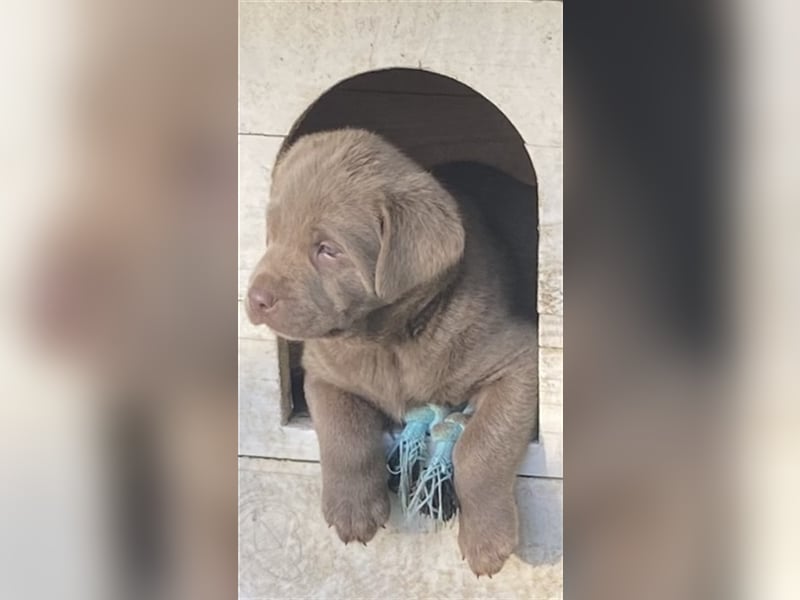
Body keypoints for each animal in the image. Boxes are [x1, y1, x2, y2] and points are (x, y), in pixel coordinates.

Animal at [248, 129, 536, 576]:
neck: (388, 343)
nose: (256, 298)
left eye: (327, 249)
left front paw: (488, 540)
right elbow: (342, 429)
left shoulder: (520, 361)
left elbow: (482, 445)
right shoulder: (322, 372)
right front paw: (351, 509)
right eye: (273, 234)